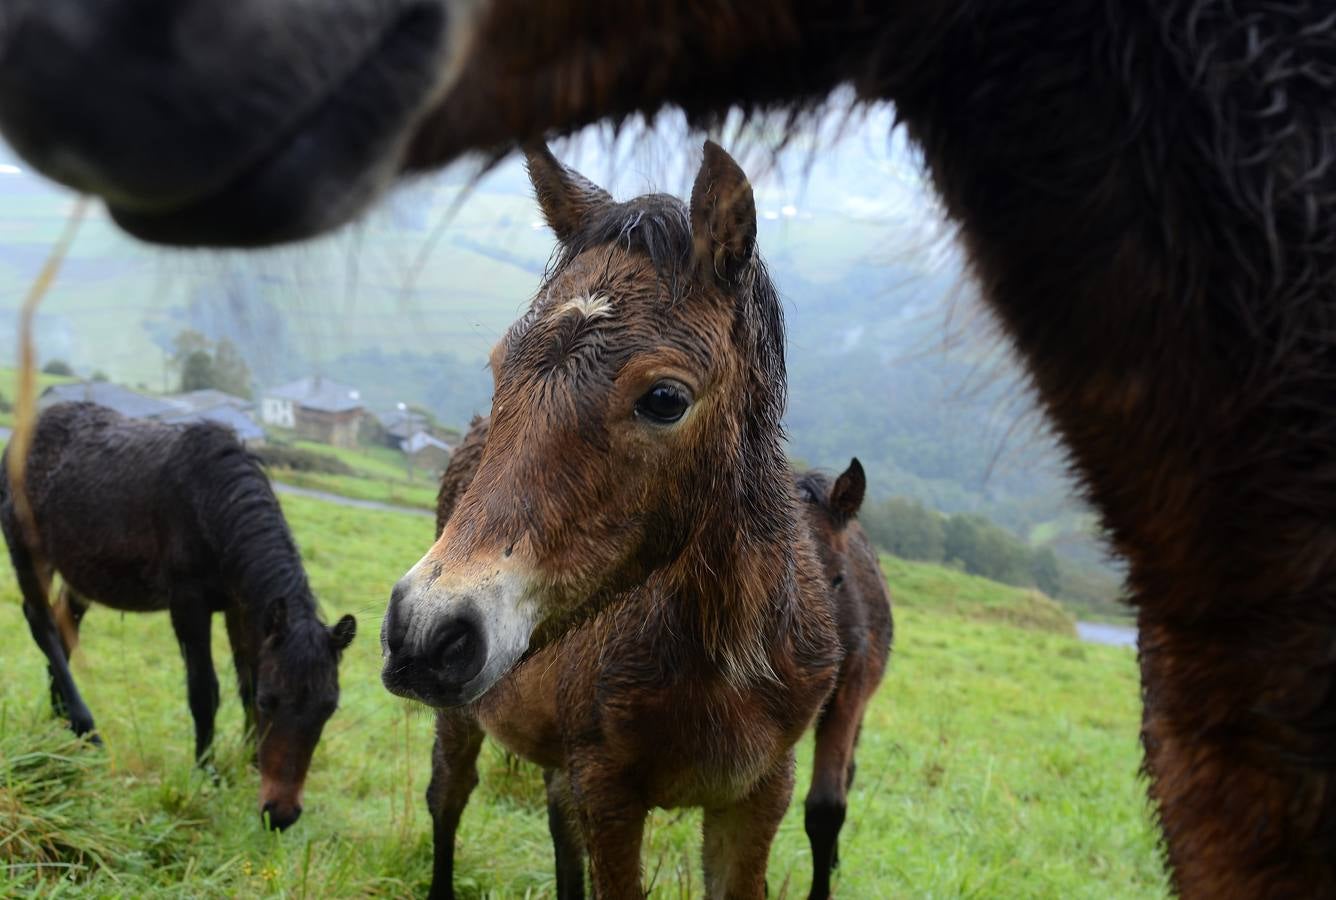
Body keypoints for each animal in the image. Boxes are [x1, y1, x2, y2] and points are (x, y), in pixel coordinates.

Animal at [0, 400, 358, 827]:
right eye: (270, 702)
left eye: (328, 708)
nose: (281, 814)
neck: (212, 501)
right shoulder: (189, 601)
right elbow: (205, 690)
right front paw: (207, 772)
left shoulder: (239, 606)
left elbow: (246, 679)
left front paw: (249, 763)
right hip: (28, 551)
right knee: (41, 623)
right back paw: (87, 727)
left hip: (79, 574)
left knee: (62, 625)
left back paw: (63, 716)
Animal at [382, 143, 839, 891]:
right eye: (500, 364)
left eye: (665, 398)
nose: (425, 628)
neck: (723, 660)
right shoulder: (608, 790)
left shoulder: (760, 793)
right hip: (464, 717)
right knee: (447, 795)